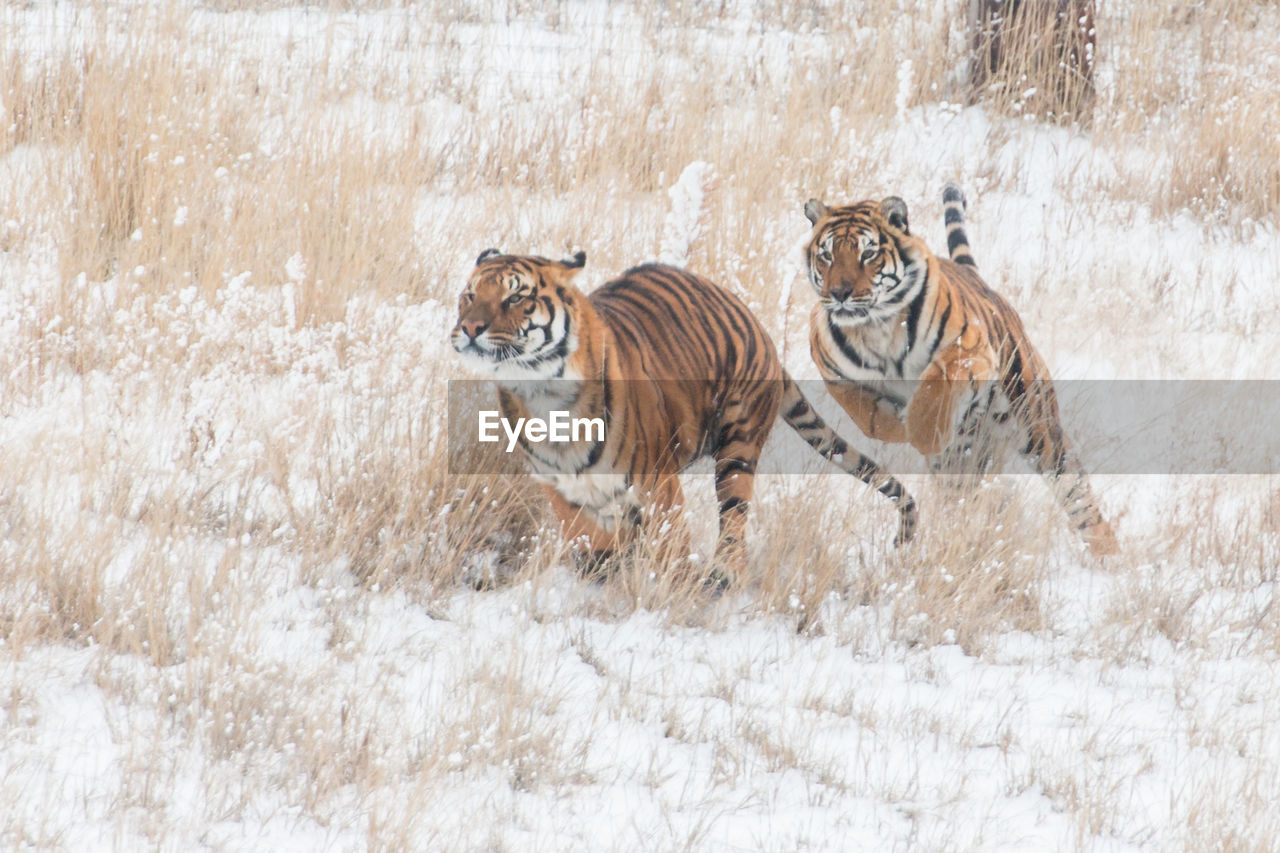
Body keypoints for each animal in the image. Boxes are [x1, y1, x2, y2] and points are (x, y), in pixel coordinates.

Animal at [450, 242, 921, 581]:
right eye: (469, 296)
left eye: (516, 297)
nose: (469, 328)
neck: (543, 395)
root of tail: (758, 328)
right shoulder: (562, 488)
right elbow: (589, 544)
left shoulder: (656, 482)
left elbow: (670, 546)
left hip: (737, 447)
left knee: (733, 521)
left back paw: (723, 578)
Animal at [803, 183, 1116, 555]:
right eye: (826, 255)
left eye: (868, 254)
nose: (839, 293)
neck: (876, 328)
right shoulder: (832, 372)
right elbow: (866, 416)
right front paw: (896, 422)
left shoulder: (971, 352)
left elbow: (933, 389)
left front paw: (920, 427)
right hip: (969, 460)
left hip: (1040, 430)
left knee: (1078, 498)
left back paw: (1108, 555)